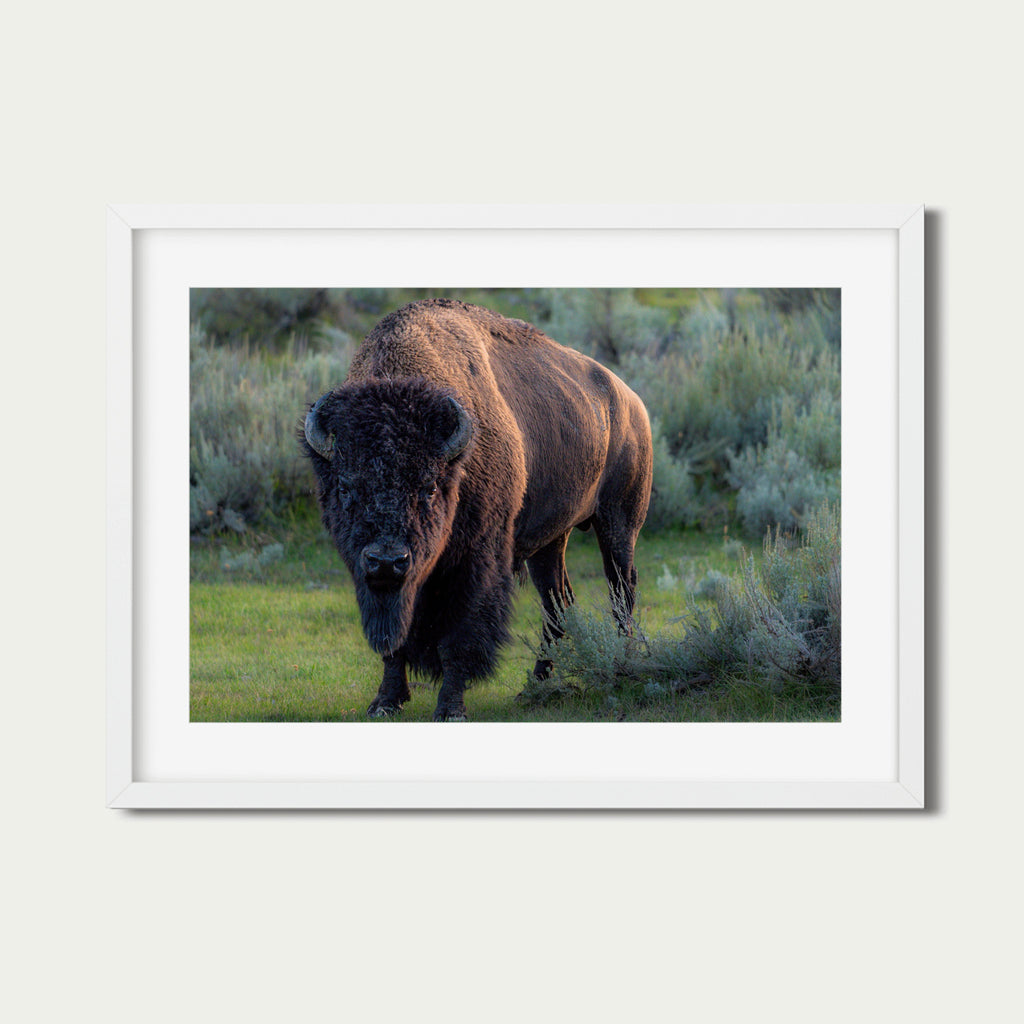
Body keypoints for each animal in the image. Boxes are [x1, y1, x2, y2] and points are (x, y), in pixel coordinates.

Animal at [302, 299, 652, 720]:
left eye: (429, 487)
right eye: (345, 487)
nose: (387, 561)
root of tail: (630, 401)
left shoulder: (474, 562)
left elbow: (459, 638)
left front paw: (450, 709)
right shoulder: (381, 582)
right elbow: (395, 641)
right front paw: (385, 702)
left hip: (619, 522)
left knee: (621, 589)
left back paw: (620, 667)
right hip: (550, 541)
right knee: (557, 601)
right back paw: (534, 687)